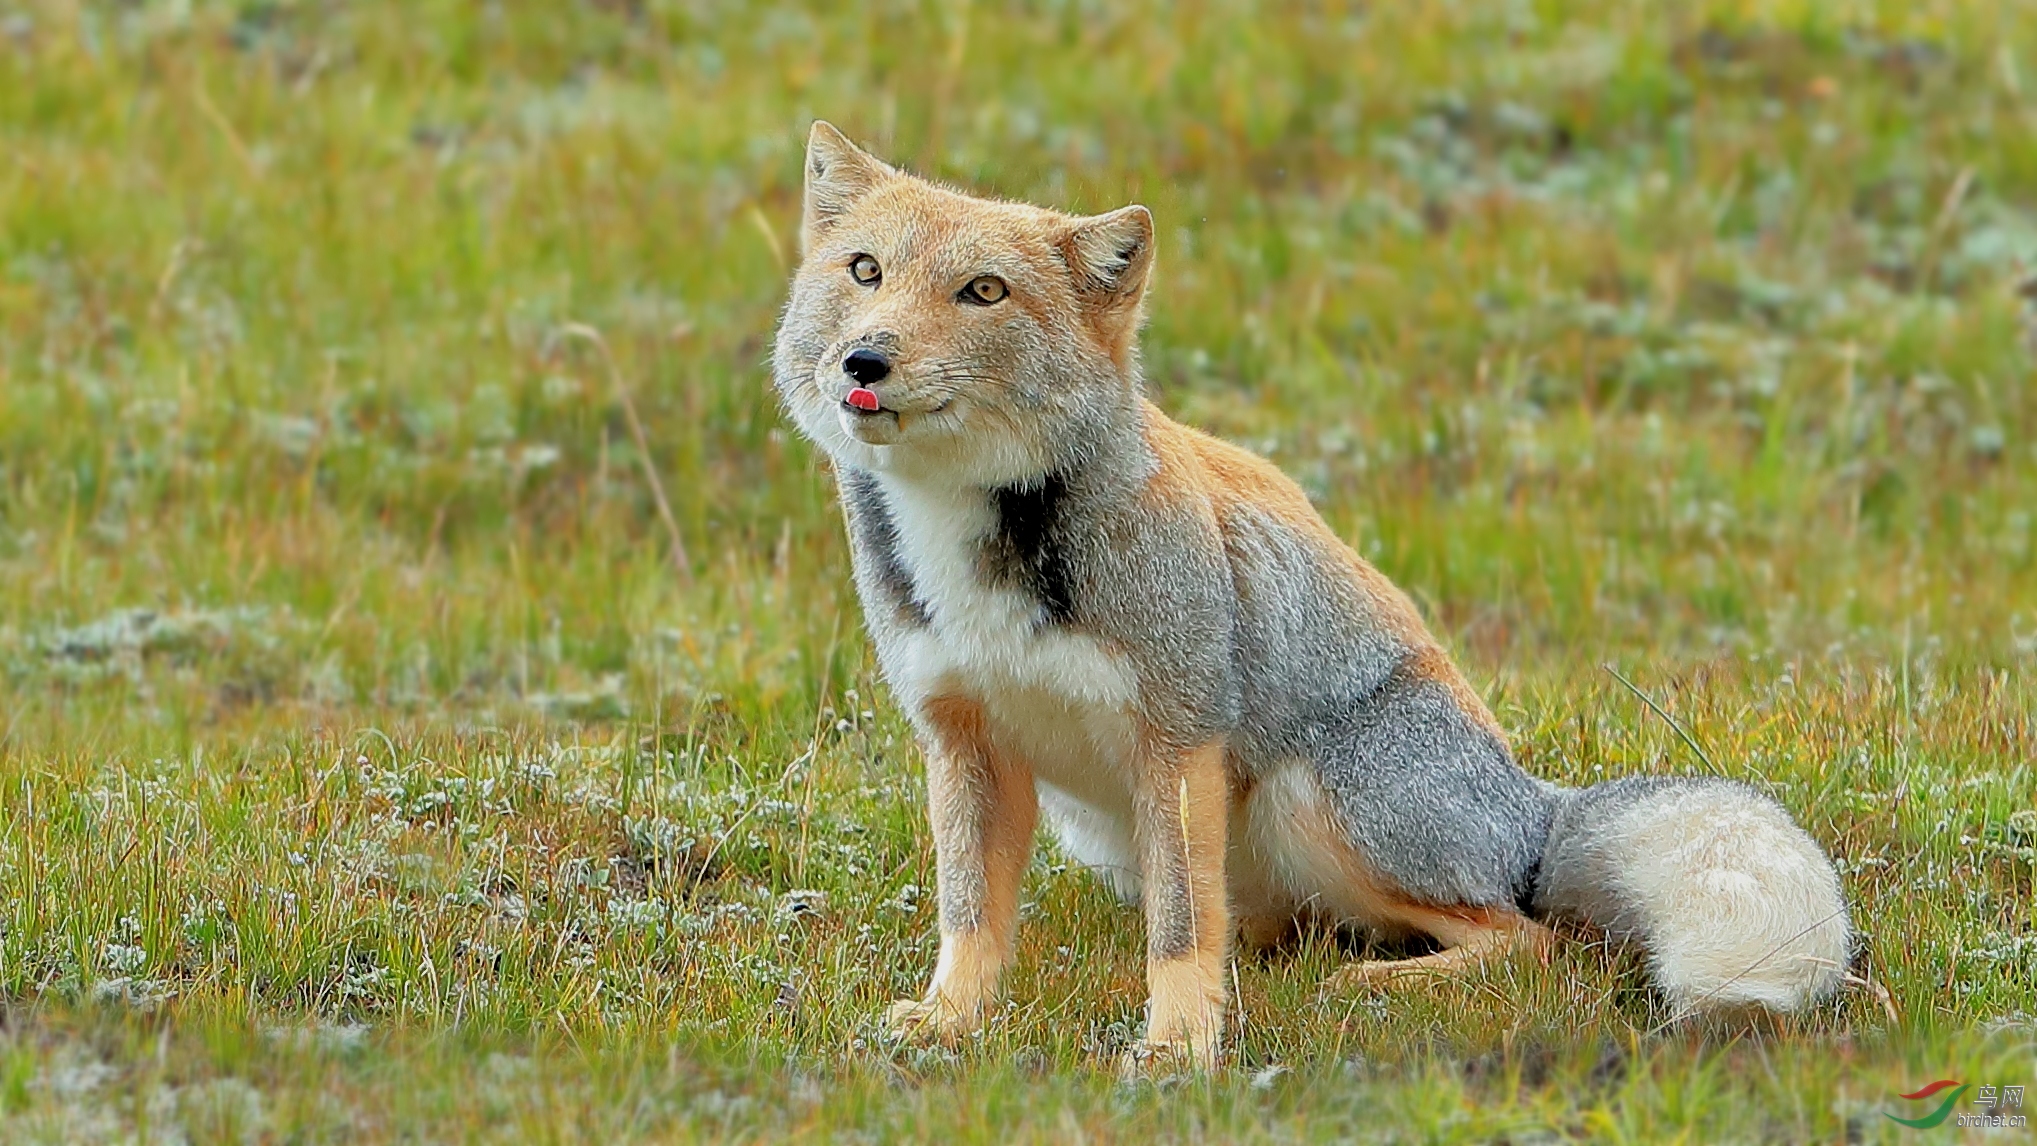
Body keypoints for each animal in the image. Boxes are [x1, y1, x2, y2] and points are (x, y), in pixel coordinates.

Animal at [765, 123, 1849, 1066]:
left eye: (981, 292)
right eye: (866, 271)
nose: (866, 359)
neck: (981, 550)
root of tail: (1534, 806)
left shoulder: (1178, 734)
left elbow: (1180, 932)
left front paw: (1178, 1049)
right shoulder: (963, 739)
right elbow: (971, 919)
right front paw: (951, 1024)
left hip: (1309, 801)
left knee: (1522, 942)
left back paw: (1373, 987)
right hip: (1125, 835)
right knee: (1272, 934)